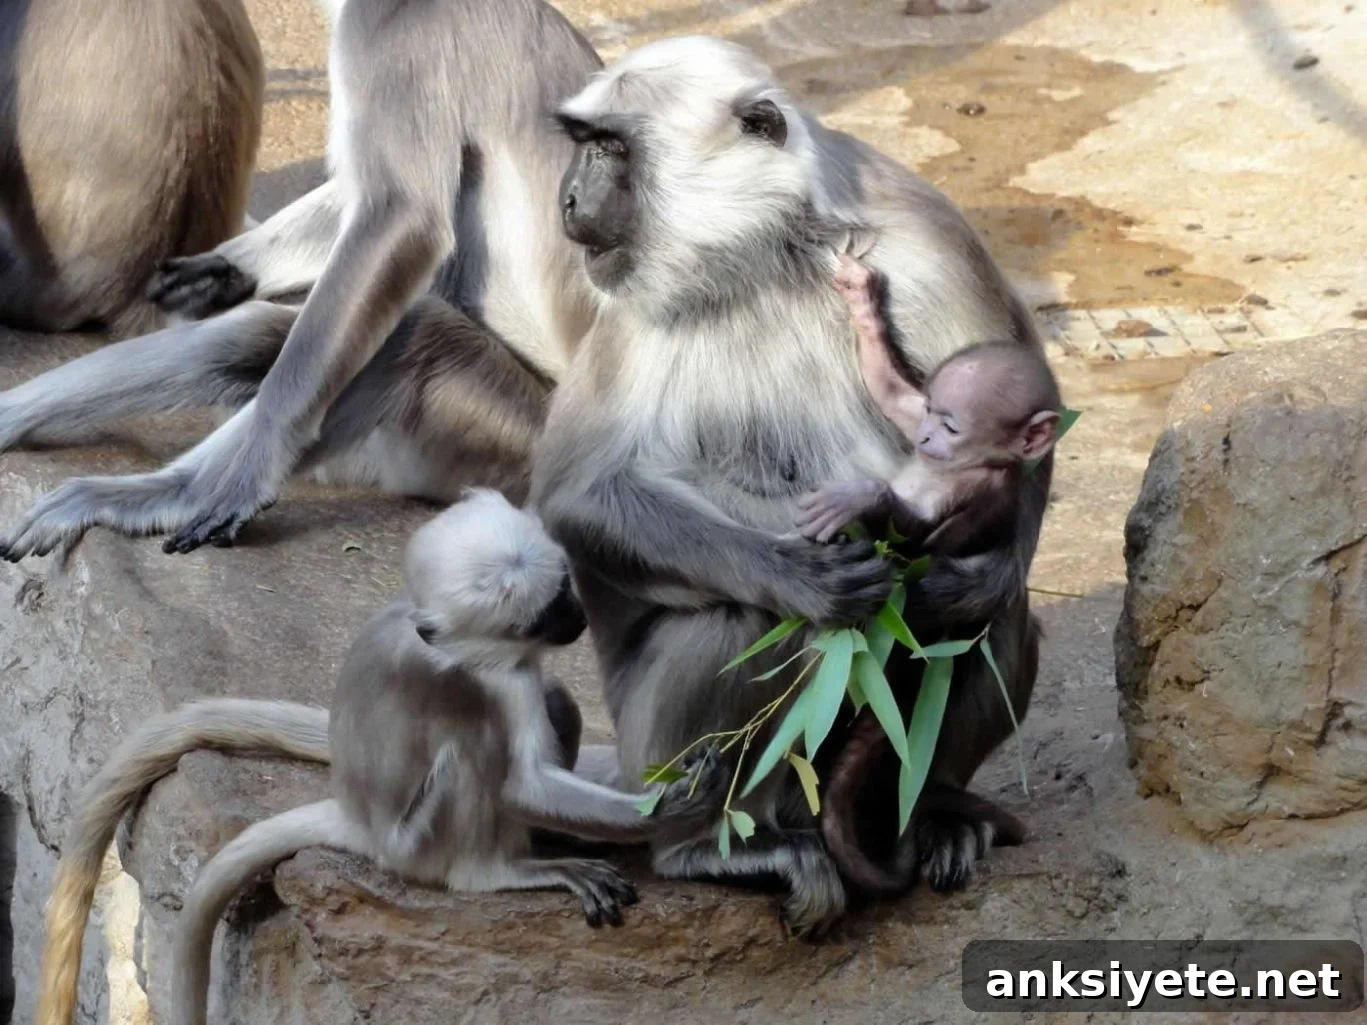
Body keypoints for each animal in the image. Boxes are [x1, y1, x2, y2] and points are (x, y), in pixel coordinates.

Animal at [34, 489, 724, 1025]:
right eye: (542, 616)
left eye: (563, 592)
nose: (576, 617)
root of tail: (357, 818)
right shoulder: (497, 678)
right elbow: (521, 782)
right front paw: (679, 804)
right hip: (419, 842)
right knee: (476, 758)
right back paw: (505, 870)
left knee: (557, 703)